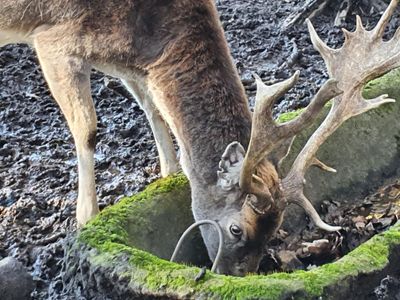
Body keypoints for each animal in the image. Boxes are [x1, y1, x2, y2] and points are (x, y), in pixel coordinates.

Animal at [0, 0, 400, 276]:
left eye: (276, 229)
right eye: (236, 229)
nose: (238, 276)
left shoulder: (133, 63)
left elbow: (152, 107)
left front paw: (168, 173)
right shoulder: (53, 39)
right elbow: (88, 129)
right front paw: (86, 219)